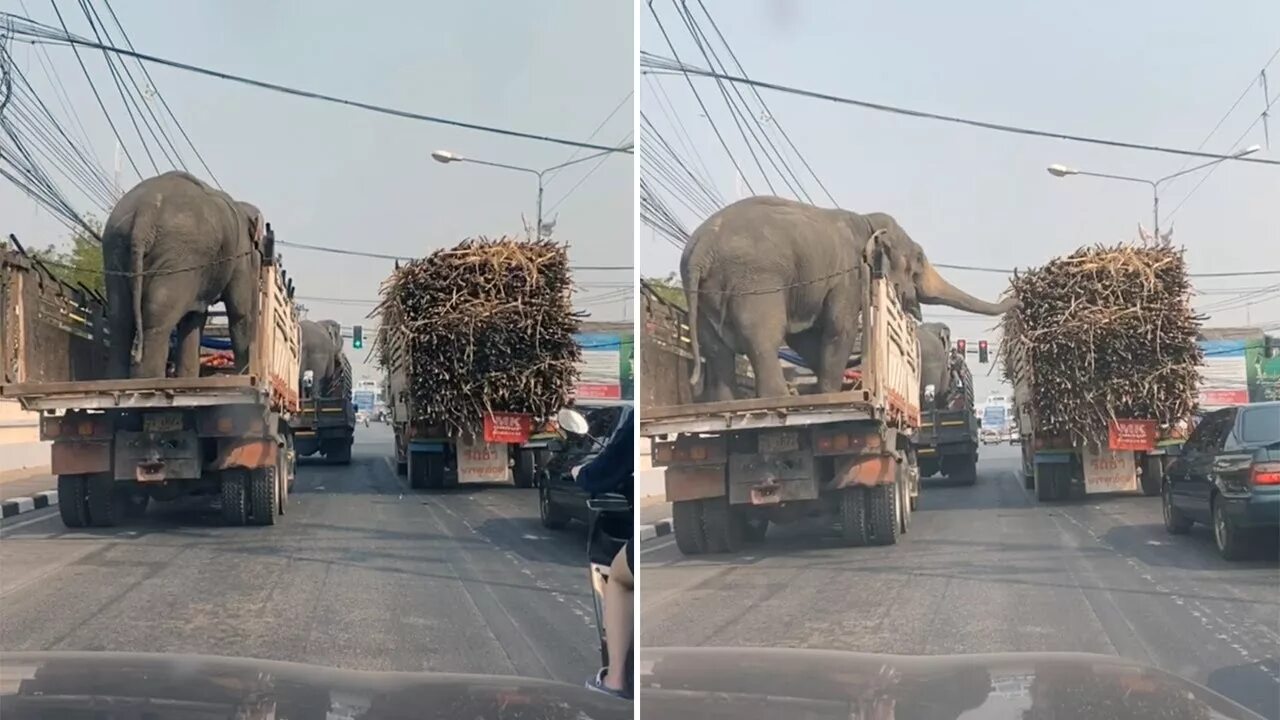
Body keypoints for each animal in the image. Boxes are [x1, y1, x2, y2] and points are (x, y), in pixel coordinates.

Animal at [101, 170, 267, 379]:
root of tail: (145, 212)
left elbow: (195, 316)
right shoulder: (240, 254)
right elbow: (240, 312)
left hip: (116, 246)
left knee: (120, 316)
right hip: (180, 255)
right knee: (157, 317)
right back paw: (150, 381)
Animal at [680, 194, 1008, 397]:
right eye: (917, 261)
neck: (867, 222)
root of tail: (700, 249)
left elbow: (805, 337)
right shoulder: (849, 274)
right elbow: (839, 328)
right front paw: (827, 392)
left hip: (705, 291)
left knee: (717, 350)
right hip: (757, 281)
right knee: (763, 340)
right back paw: (783, 396)